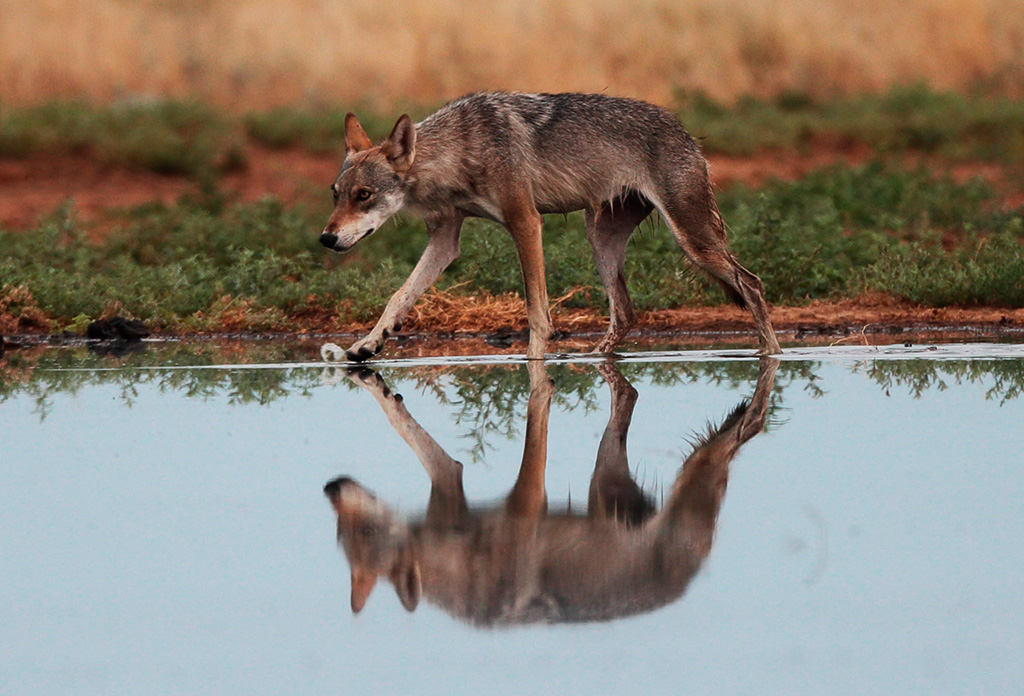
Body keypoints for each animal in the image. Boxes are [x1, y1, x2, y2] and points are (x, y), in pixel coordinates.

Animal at [319, 91, 782, 358]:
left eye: (364, 195)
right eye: (336, 193)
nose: (326, 237)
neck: (459, 152)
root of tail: (685, 132)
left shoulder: (526, 222)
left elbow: (536, 311)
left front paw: (535, 363)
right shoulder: (445, 239)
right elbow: (399, 294)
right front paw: (367, 344)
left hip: (692, 242)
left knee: (753, 284)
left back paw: (772, 357)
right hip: (600, 239)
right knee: (626, 313)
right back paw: (594, 359)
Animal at [323, 358, 770, 626]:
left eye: (365, 531)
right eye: (341, 534)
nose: (330, 487)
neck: (457, 555)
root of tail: (688, 580)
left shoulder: (526, 499)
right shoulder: (450, 484)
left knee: (729, 441)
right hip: (605, 481)